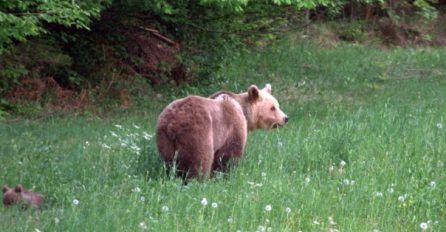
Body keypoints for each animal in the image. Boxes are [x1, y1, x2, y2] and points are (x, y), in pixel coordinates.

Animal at [157, 84, 290, 179]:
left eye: (277, 105)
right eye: (272, 108)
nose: (286, 118)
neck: (245, 113)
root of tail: (173, 122)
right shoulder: (232, 127)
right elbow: (229, 156)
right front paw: (225, 176)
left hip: (164, 138)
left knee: (168, 162)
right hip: (198, 133)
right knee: (198, 161)